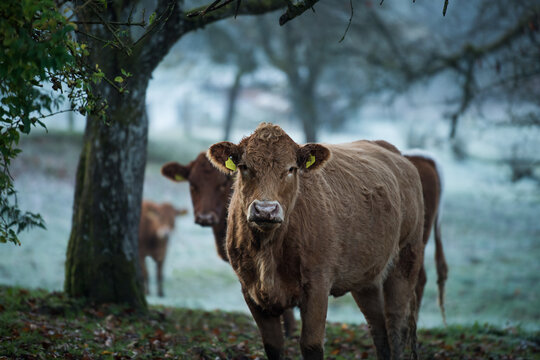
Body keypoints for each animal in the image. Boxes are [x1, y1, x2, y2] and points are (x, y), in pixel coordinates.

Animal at [207, 124, 426, 360]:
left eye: (291, 169)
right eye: (244, 167)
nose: (266, 209)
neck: (269, 250)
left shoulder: (318, 284)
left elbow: (311, 345)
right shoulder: (251, 290)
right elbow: (273, 346)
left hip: (406, 259)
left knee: (397, 325)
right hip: (366, 277)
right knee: (378, 327)